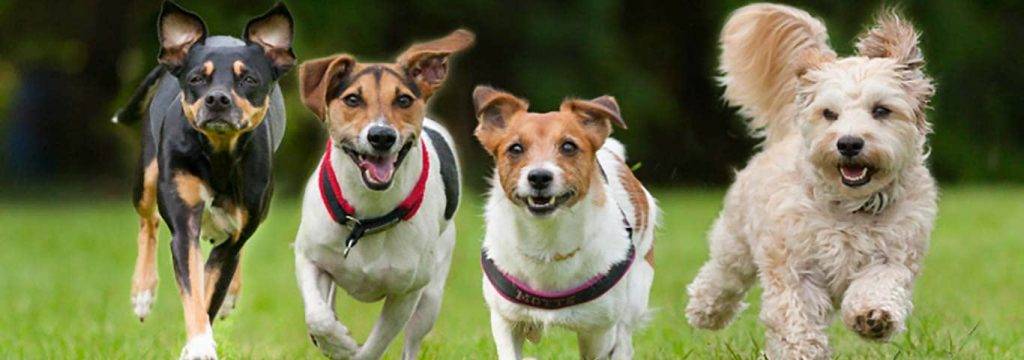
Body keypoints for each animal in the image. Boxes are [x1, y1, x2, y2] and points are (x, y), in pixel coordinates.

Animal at [113, 1, 296, 357]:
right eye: (197, 78)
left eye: (249, 79)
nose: (217, 99)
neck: (218, 155)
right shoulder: (185, 226)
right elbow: (194, 293)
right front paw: (198, 345)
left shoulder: (234, 236)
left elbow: (211, 292)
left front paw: (200, 340)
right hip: (147, 177)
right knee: (148, 221)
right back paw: (143, 292)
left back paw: (231, 295)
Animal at [294, 29, 473, 357]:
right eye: (353, 99)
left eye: (403, 99)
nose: (381, 136)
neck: (367, 217)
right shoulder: (309, 257)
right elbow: (318, 316)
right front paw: (337, 342)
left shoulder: (406, 292)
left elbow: (374, 346)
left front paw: (349, 349)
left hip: (431, 296)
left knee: (413, 340)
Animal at [475, 86, 659, 360]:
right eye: (515, 148)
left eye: (569, 146)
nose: (539, 176)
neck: (547, 240)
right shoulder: (506, 321)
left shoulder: (599, 331)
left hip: (634, 295)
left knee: (625, 338)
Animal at [688, 3, 937, 360]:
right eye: (829, 113)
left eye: (881, 110)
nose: (849, 143)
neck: (850, 208)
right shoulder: (795, 269)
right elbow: (797, 320)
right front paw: (800, 351)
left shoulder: (895, 255)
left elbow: (879, 283)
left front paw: (873, 316)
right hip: (736, 237)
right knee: (724, 273)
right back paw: (706, 309)